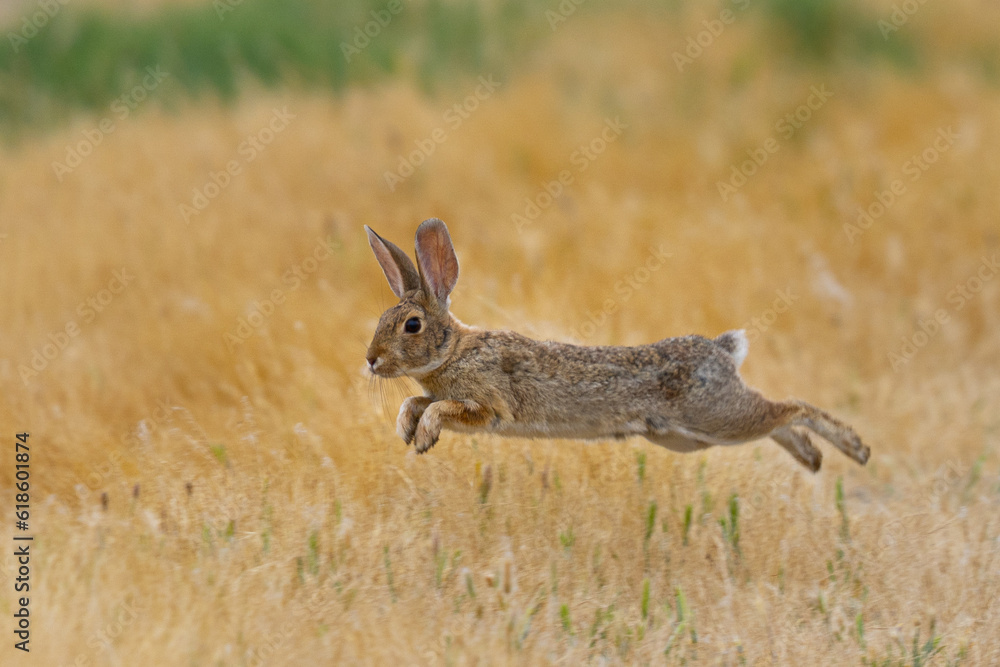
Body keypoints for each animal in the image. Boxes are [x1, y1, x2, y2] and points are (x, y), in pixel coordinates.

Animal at [364, 218, 870, 472]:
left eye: (411, 325)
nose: (370, 360)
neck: (454, 350)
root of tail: (722, 351)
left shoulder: (488, 406)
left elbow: (441, 408)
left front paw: (423, 436)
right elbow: (415, 401)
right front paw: (405, 429)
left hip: (714, 415)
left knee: (792, 408)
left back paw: (852, 449)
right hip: (688, 436)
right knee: (778, 420)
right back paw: (812, 458)